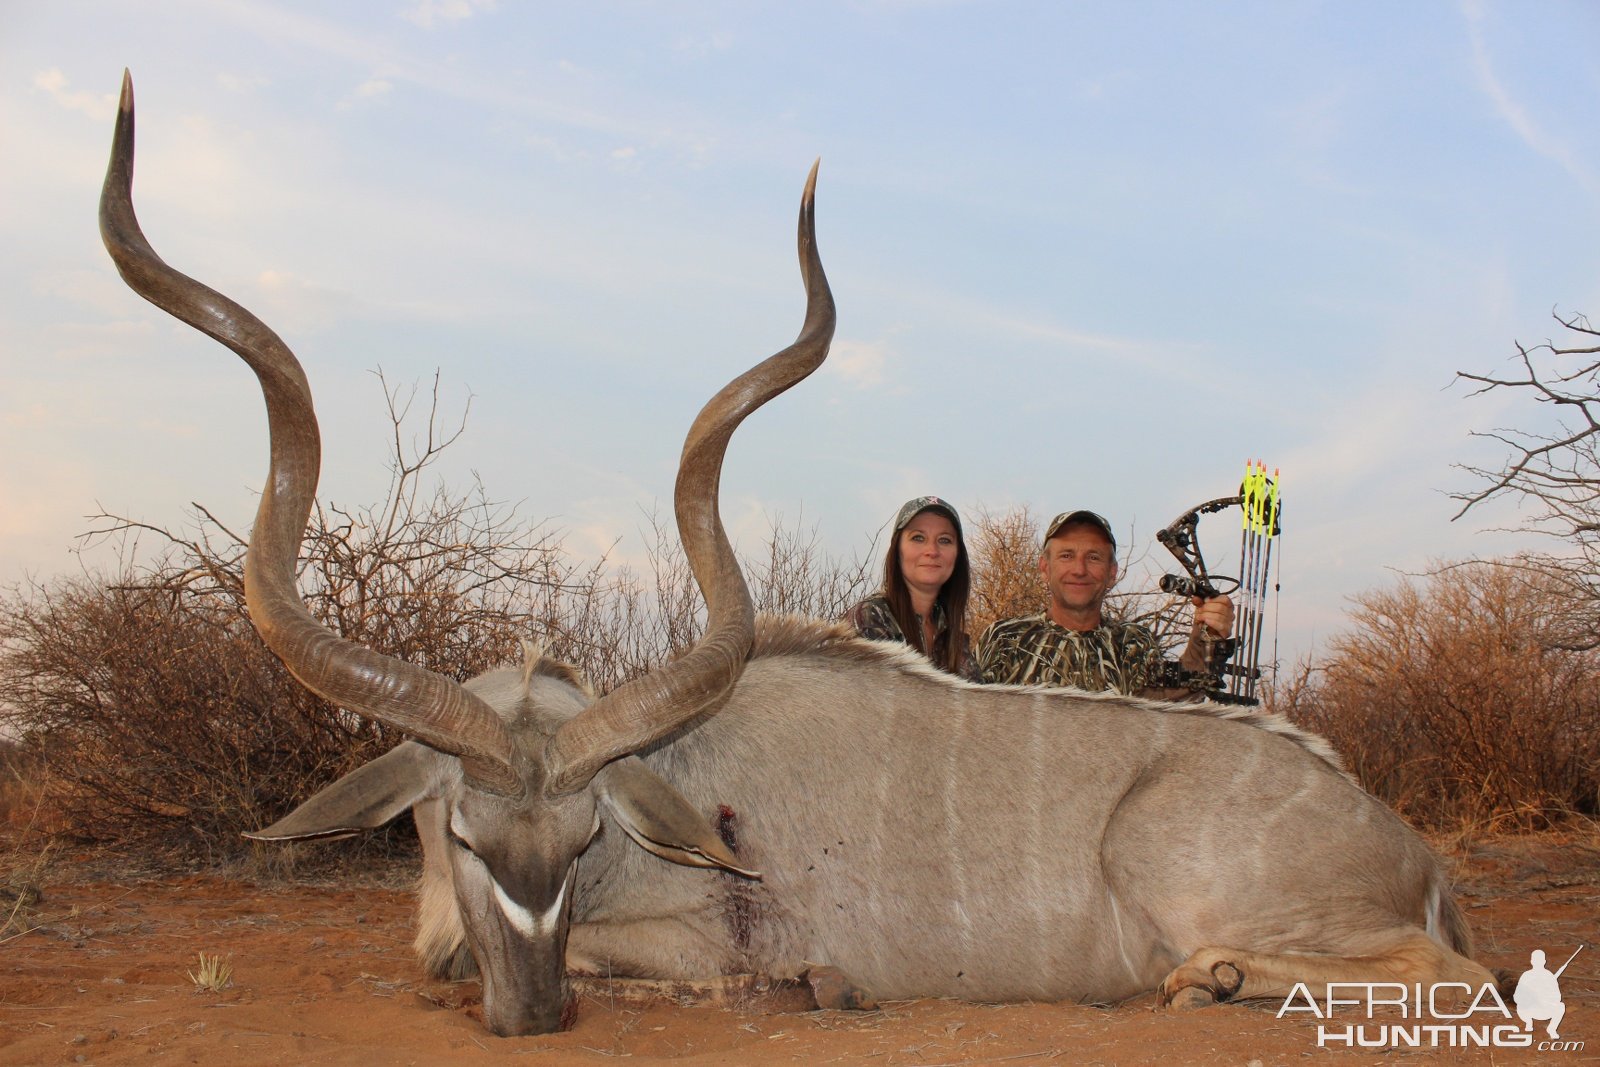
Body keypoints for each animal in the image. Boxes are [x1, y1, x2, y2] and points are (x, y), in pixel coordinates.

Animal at [103, 73, 1497, 1036]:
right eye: (459, 831)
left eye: (585, 836)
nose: (536, 1014)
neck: (684, 774)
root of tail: (1408, 847)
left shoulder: (691, 938)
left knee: (1455, 971)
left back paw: (1207, 975)